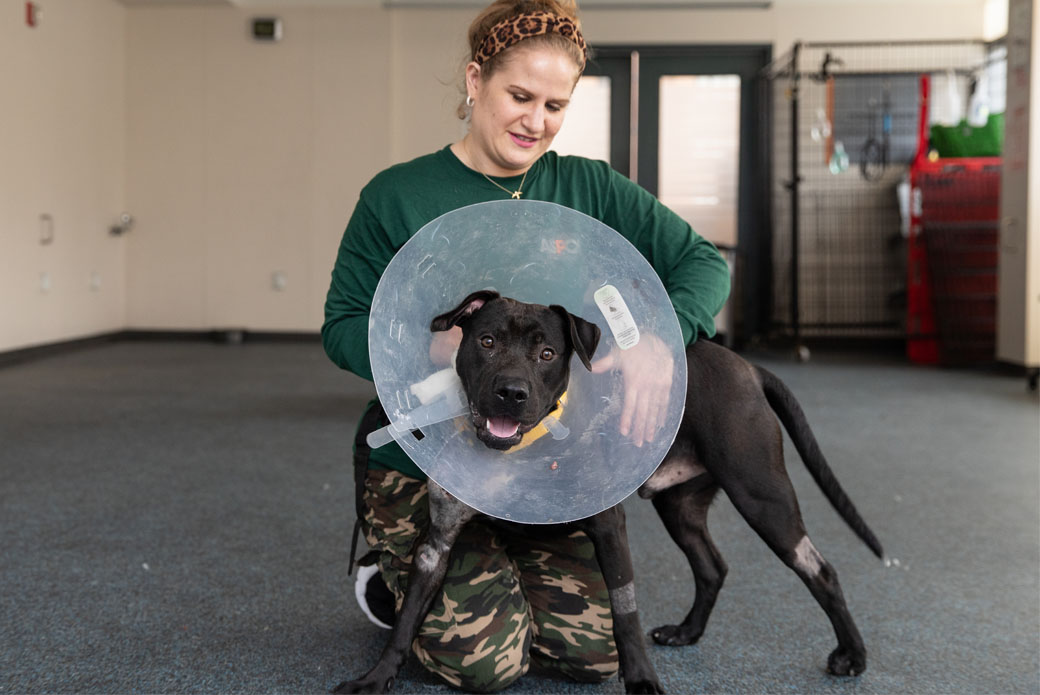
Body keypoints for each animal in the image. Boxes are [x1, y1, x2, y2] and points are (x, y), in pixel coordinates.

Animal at [334, 291, 886, 690]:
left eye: (548, 353)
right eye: (486, 341)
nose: (511, 392)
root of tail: (747, 367)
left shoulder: (609, 531)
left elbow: (625, 616)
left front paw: (641, 682)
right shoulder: (437, 542)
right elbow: (407, 619)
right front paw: (376, 678)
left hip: (763, 498)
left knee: (820, 569)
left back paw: (852, 656)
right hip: (680, 508)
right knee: (713, 567)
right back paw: (687, 632)